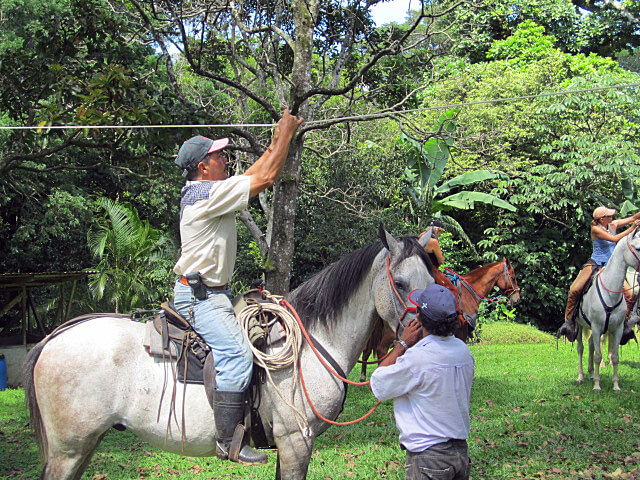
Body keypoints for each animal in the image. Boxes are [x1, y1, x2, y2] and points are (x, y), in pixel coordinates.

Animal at [23, 229, 436, 480]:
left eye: (432, 279)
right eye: (400, 284)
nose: (428, 330)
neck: (313, 342)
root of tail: (53, 338)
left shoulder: (290, 446)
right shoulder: (296, 442)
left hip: (84, 446)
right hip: (69, 450)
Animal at [360, 256, 520, 380]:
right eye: (513, 277)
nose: (517, 298)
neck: (468, 293)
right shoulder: (461, 330)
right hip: (392, 330)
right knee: (381, 349)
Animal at [576, 228, 640, 390]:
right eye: (638, 248)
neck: (611, 292)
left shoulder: (617, 329)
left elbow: (615, 357)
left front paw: (616, 386)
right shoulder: (597, 327)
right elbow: (598, 356)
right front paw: (597, 386)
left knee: (591, 344)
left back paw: (591, 374)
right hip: (579, 325)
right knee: (581, 348)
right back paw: (581, 377)